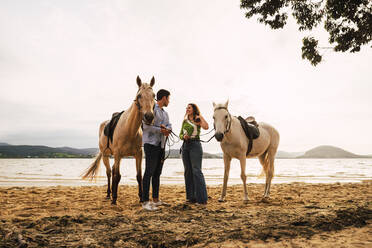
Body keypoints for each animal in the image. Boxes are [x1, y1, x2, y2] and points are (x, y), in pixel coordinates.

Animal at [83, 76, 155, 204]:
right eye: (139, 96)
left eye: (154, 95)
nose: (149, 117)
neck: (130, 129)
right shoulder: (118, 154)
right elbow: (117, 176)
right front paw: (114, 199)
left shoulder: (138, 154)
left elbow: (139, 176)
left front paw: (141, 198)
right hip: (106, 155)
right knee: (109, 172)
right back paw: (109, 194)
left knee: (112, 170)